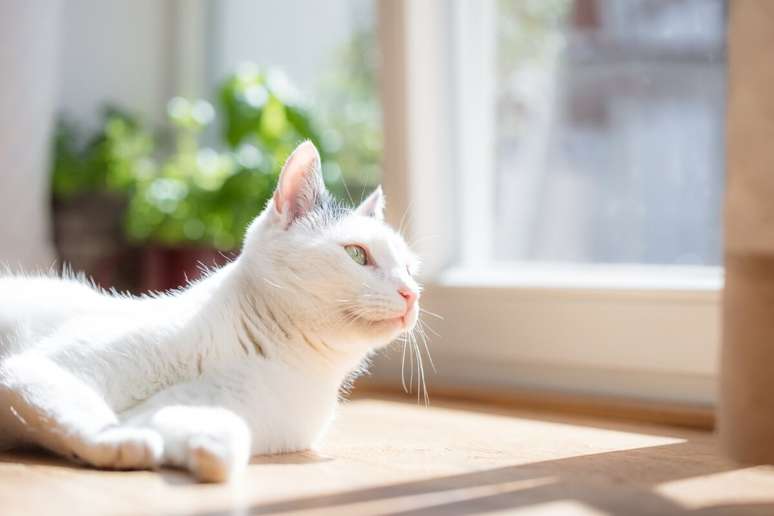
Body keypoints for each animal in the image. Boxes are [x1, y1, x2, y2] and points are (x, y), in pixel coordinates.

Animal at [0, 140, 422, 480]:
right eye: (357, 254)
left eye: (410, 268)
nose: (411, 294)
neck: (263, 353)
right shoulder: (34, 368)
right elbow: (79, 404)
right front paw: (122, 441)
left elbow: (221, 426)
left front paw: (209, 449)